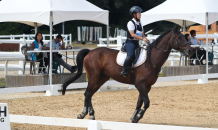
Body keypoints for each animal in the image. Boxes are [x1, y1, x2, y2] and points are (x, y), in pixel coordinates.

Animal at [61, 25, 194, 123]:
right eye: (179, 37)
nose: (190, 50)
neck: (151, 59)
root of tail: (90, 52)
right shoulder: (140, 84)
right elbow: (147, 102)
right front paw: (138, 116)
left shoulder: (146, 86)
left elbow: (140, 102)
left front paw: (134, 117)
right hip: (93, 76)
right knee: (88, 93)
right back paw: (91, 114)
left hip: (101, 78)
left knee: (88, 93)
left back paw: (83, 114)